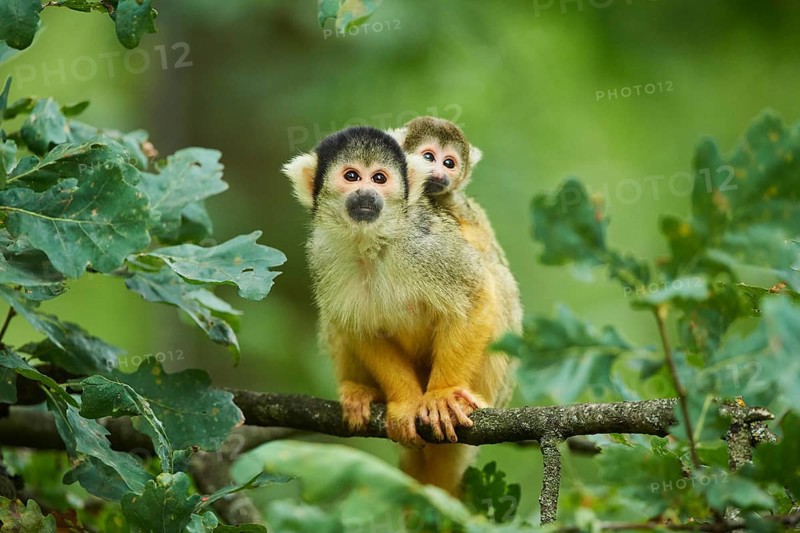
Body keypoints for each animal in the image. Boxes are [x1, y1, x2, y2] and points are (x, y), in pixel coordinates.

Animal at [283, 126, 521, 495]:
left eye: (380, 178)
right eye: (351, 176)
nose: (366, 194)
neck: (374, 240)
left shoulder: (427, 243)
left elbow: (476, 298)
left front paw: (441, 396)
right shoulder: (323, 254)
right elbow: (359, 329)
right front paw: (406, 402)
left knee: (496, 279)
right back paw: (359, 391)